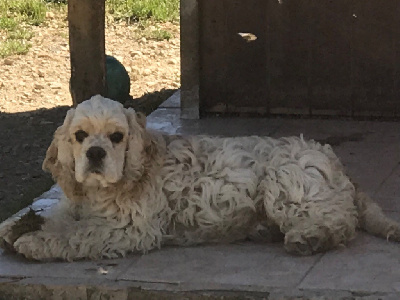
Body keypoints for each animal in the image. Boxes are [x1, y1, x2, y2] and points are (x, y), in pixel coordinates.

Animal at [0, 95, 400, 262]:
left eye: (116, 137)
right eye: (80, 136)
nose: (95, 154)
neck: (100, 192)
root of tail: (336, 165)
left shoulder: (131, 228)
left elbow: (78, 234)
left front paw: (35, 242)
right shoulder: (78, 202)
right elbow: (61, 216)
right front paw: (19, 226)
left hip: (285, 181)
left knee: (341, 222)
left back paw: (310, 239)